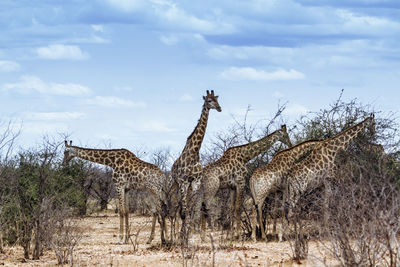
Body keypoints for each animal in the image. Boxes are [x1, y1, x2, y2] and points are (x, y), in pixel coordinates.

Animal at [170, 90, 222, 243]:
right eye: (209, 101)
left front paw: (188, 237)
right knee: (177, 208)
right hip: (176, 184)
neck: (194, 153)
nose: (219, 108)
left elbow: (192, 210)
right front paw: (182, 238)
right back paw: (175, 235)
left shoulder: (195, 182)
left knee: (184, 209)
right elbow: (185, 211)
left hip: (186, 187)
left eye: (217, 99)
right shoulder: (183, 181)